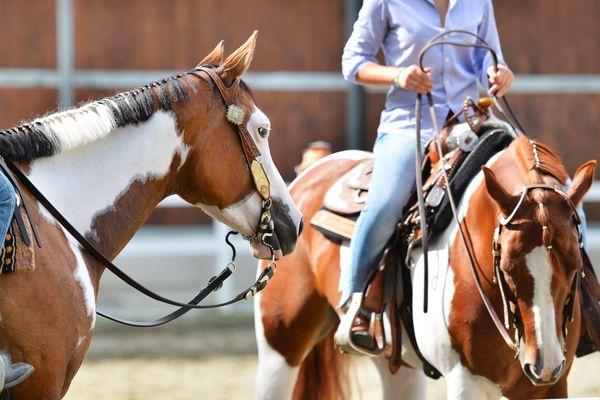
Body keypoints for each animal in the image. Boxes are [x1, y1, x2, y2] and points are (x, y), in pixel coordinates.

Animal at [254, 133, 596, 398]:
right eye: (508, 267)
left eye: (574, 264)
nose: (543, 362)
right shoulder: (465, 380)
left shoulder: (550, 387)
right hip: (280, 346)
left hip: (394, 361)